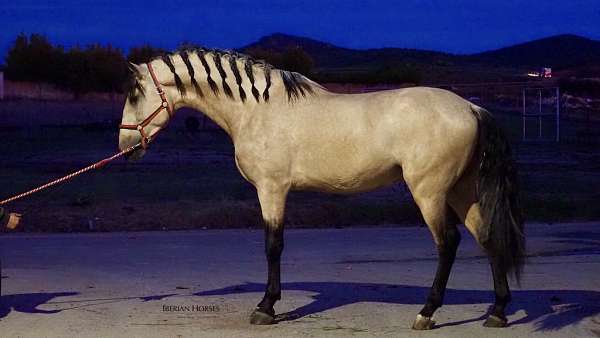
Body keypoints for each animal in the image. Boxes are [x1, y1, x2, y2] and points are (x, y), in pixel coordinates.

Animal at [118, 48, 524, 330]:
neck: (258, 110)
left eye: (135, 93)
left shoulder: (272, 190)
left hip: (430, 192)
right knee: (487, 237)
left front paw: (266, 308)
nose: (125, 146)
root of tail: (472, 108)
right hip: (462, 191)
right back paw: (497, 312)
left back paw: (427, 313)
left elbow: (273, 245)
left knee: (448, 243)